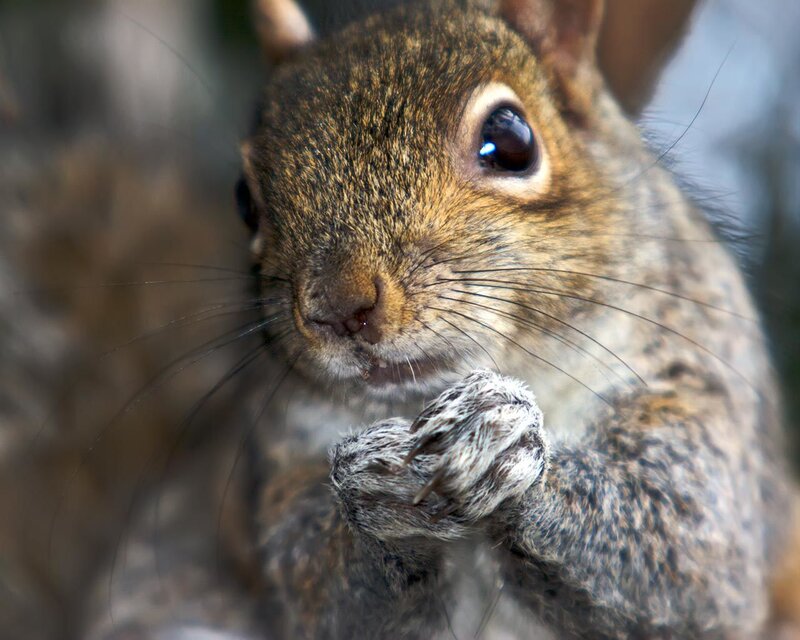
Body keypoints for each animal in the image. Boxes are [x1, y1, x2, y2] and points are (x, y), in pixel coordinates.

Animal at [80, 0, 800, 639]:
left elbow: (689, 549)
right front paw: (378, 496)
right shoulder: (284, 456)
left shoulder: (696, 381)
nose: (338, 307)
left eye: (510, 140)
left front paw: (506, 451)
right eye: (244, 201)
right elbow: (320, 593)